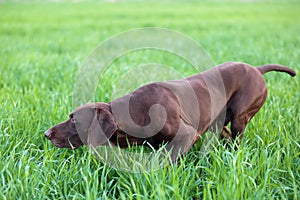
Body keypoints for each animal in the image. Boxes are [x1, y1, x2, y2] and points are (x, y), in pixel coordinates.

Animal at [44, 61, 296, 162]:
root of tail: (256, 68)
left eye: (73, 119)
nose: (46, 134)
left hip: (240, 116)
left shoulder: (187, 135)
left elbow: (169, 158)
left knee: (236, 139)